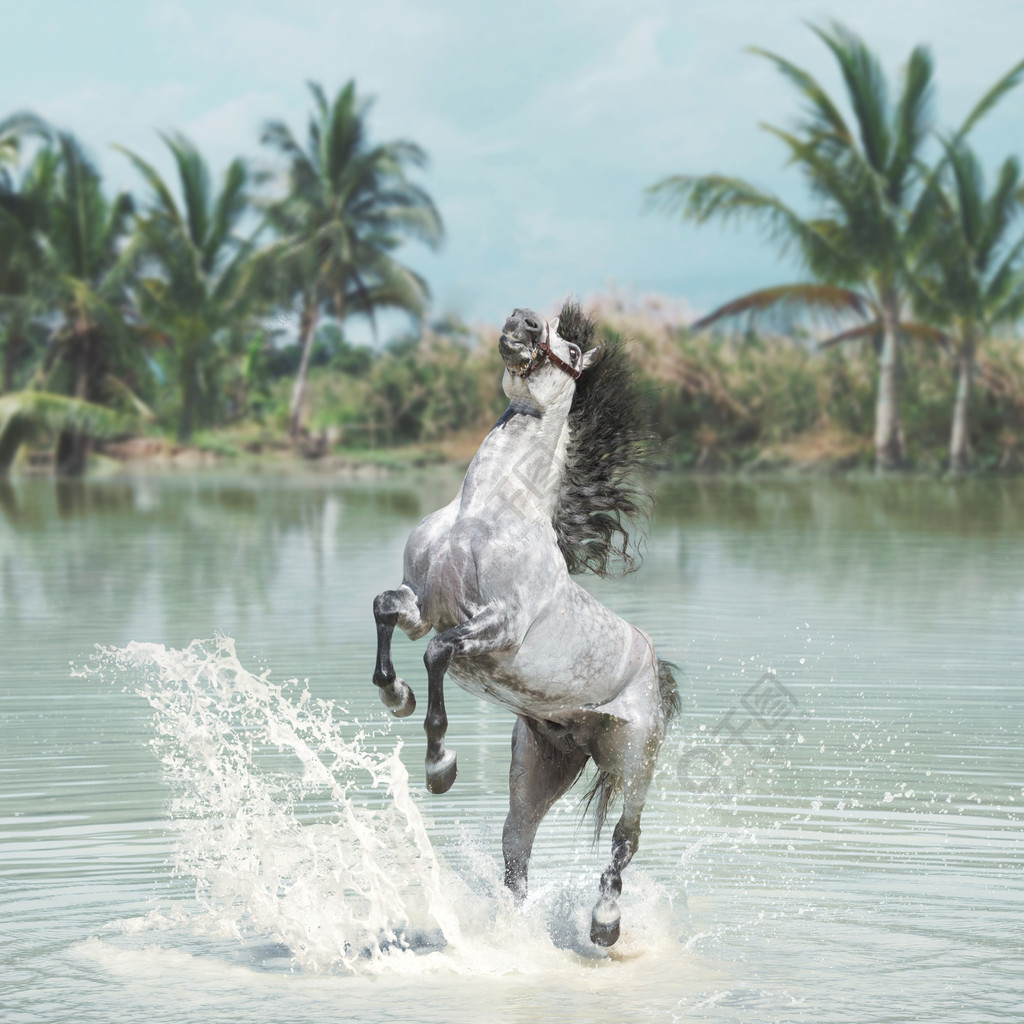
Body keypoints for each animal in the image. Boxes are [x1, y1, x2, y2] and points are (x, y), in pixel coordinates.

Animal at [372, 299, 675, 946]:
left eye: (570, 346)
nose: (523, 322)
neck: (486, 511)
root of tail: (654, 661)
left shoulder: (498, 628)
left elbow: (438, 653)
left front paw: (439, 766)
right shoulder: (420, 604)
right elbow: (385, 610)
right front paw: (397, 696)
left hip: (636, 757)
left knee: (626, 838)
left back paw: (604, 924)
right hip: (539, 766)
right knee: (518, 846)